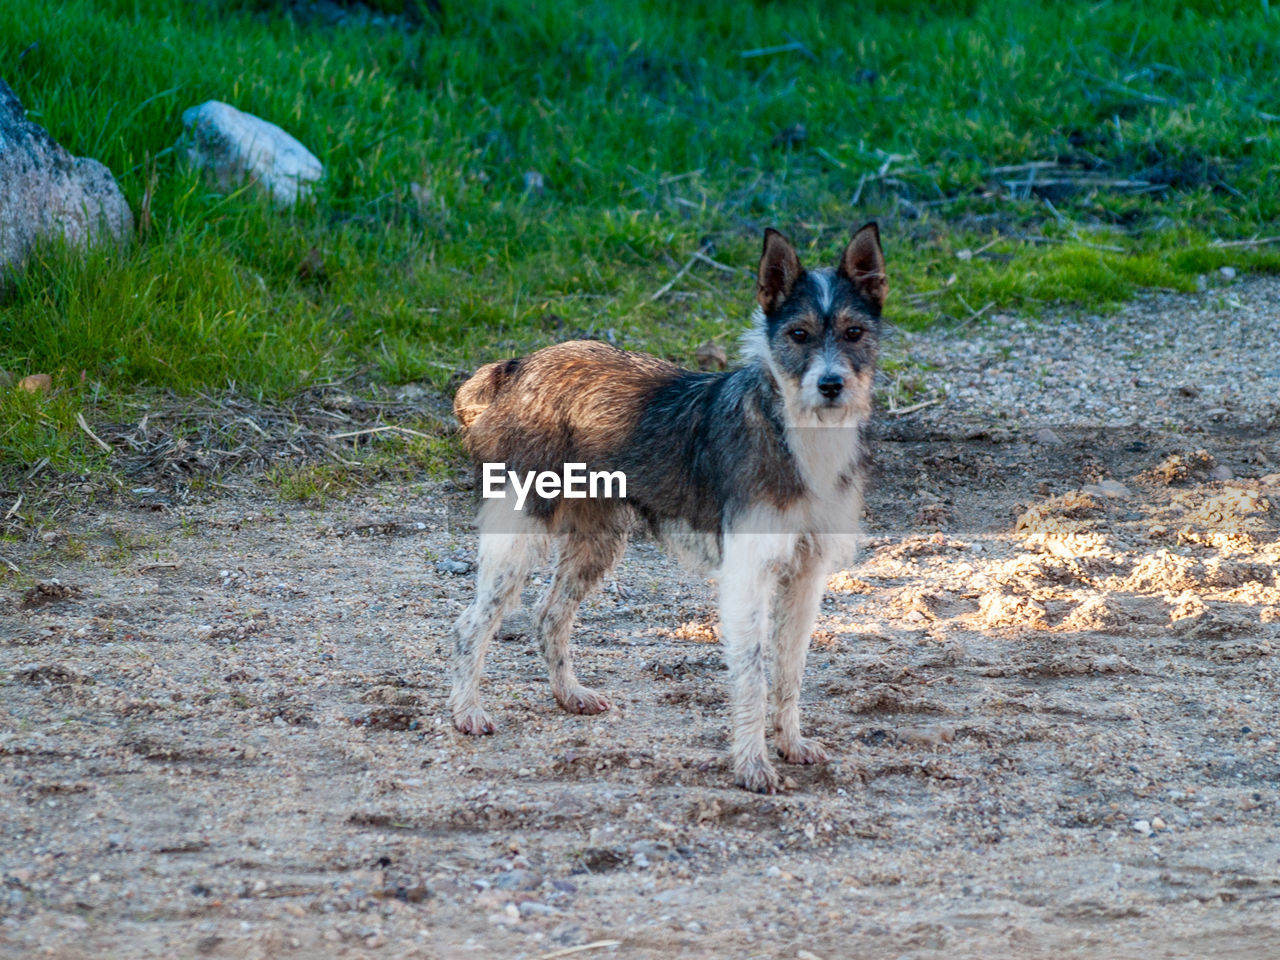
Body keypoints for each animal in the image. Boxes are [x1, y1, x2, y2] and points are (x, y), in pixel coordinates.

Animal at [445, 225, 885, 798]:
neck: (797, 434)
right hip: (519, 536)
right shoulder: (748, 577)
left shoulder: (806, 577)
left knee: (549, 616)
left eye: (854, 332)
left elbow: (790, 670)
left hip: (598, 542)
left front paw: (789, 744)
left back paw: (569, 695)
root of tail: (518, 367)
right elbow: (754, 675)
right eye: (798, 334)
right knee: (471, 624)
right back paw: (466, 712)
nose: (831, 385)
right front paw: (752, 764)